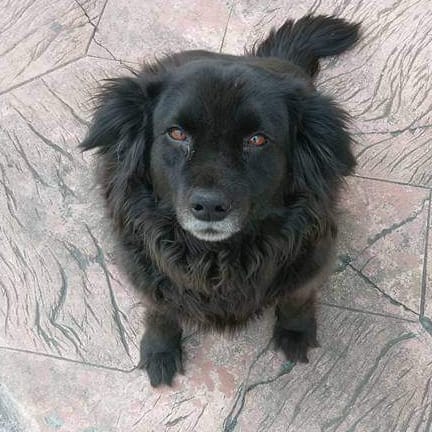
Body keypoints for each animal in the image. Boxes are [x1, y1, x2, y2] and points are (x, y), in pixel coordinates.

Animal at [81, 15, 360, 387]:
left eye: (257, 140)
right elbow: (160, 310)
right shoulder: (145, 270)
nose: (209, 206)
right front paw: (159, 349)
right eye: (177, 134)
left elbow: (297, 299)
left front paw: (296, 331)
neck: (216, 259)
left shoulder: (312, 260)